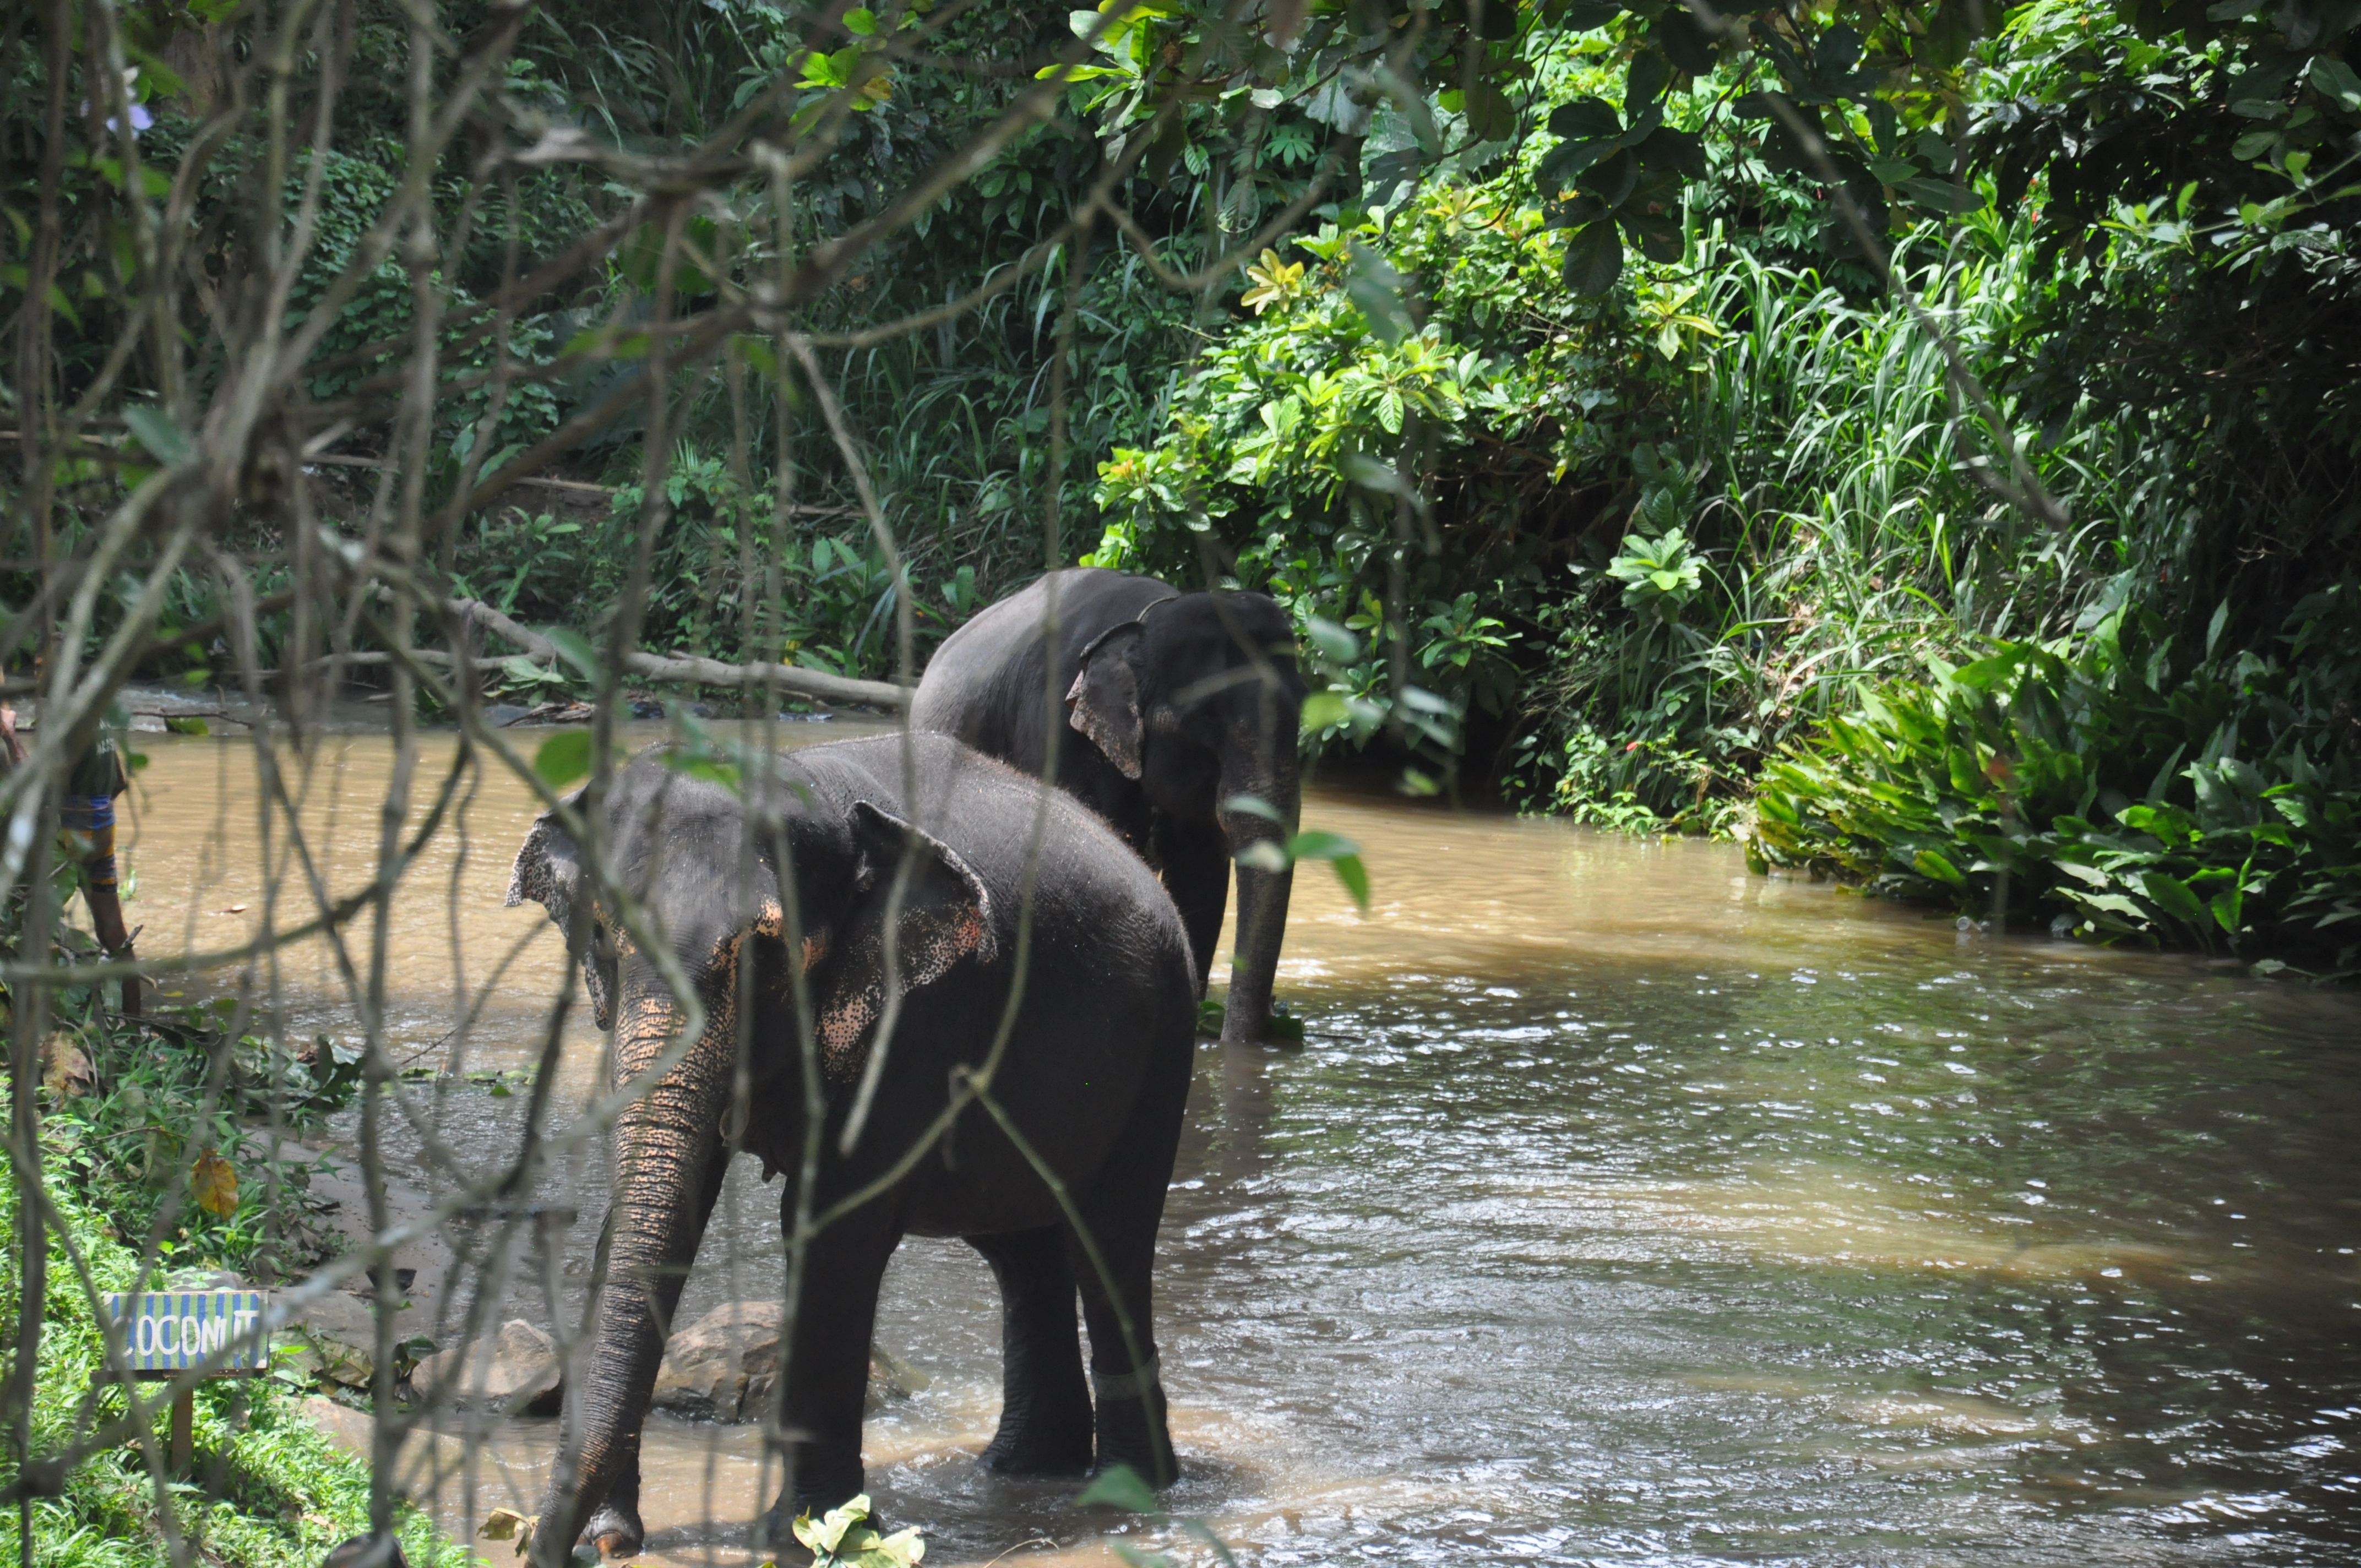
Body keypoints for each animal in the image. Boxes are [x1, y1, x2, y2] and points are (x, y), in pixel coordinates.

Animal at [505, 732, 1197, 1561]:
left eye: (766, 955)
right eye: (606, 938)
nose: (566, 1548)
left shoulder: (914, 1019)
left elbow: (829, 1231)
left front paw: (810, 1537)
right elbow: (658, 1216)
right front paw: (617, 1532)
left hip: (1164, 1050)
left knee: (1111, 1243)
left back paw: (1126, 1492)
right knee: (1024, 1253)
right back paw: (1022, 1470)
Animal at [909, 567, 1305, 1047]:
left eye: (1303, 709)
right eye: (1205, 721)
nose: (1263, 1029)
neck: (1144, 623)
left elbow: (1199, 873)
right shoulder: (1054, 725)